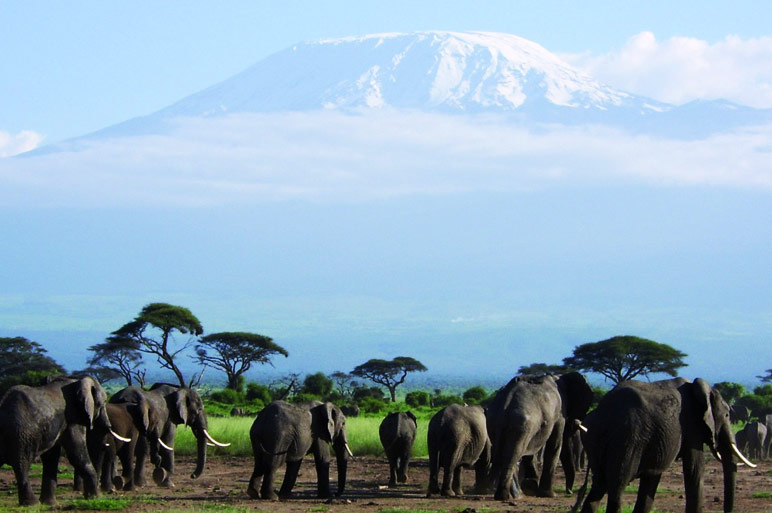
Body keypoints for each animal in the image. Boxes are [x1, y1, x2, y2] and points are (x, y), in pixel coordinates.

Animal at [0, 374, 123, 506]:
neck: (75, 381)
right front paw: (97, 498)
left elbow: (51, 457)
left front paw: (50, 503)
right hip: (22, 435)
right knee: (22, 465)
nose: (108, 425)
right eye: (103, 403)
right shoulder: (72, 420)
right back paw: (32, 504)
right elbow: (76, 454)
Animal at [486, 370, 596, 498]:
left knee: (505, 454)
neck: (558, 376)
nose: (570, 491)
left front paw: (531, 487)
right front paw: (549, 494)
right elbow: (555, 444)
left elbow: (533, 449)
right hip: (522, 424)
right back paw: (507, 496)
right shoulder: (559, 413)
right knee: (515, 453)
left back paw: (511, 495)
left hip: (495, 423)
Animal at [580, 376, 752, 512]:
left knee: (597, 488)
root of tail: (604, 413)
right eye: (727, 415)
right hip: (627, 439)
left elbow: (652, 478)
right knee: (616, 489)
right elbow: (694, 470)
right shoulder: (691, 425)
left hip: (597, 439)